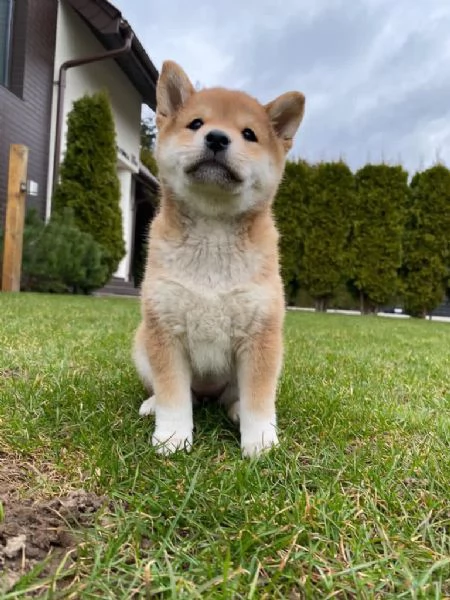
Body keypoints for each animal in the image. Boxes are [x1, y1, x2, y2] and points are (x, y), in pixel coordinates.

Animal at [132, 59, 304, 454]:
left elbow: (259, 399)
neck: (212, 235)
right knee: (184, 395)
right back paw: (153, 405)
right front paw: (173, 435)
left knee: (233, 397)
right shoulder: (165, 330)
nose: (217, 138)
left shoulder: (260, 335)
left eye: (249, 134)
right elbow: (174, 396)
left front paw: (260, 441)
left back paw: (236, 410)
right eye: (196, 123)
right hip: (142, 344)